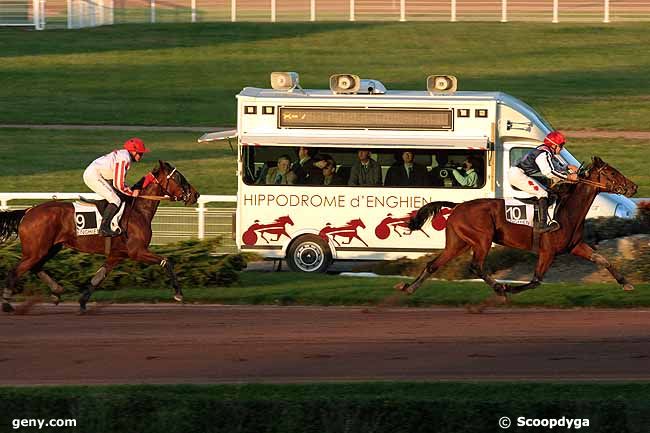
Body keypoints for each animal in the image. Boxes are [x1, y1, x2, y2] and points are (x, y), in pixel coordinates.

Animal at [0, 160, 197, 312]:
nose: (196, 194)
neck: (138, 210)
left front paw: (82, 303)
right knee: (15, 270)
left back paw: (57, 291)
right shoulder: (137, 251)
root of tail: (28, 211)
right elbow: (167, 261)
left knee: (35, 267)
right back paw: (7, 303)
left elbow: (98, 277)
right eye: (178, 177)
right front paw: (178, 294)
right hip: (37, 250)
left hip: (50, 248)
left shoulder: (117, 255)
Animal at [392, 157, 636, 296]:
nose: (633, 187)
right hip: (482, 239)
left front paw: (625, 283)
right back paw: (499, 287)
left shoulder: (575, 246)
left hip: (457, 242)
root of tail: (458, 205)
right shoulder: (548, 251)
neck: (567, 209)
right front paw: (509, 287)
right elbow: (535, 280)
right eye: (612, 173)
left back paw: (409, 287)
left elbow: (603, 260)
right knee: (476, 266)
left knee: (433, 264)